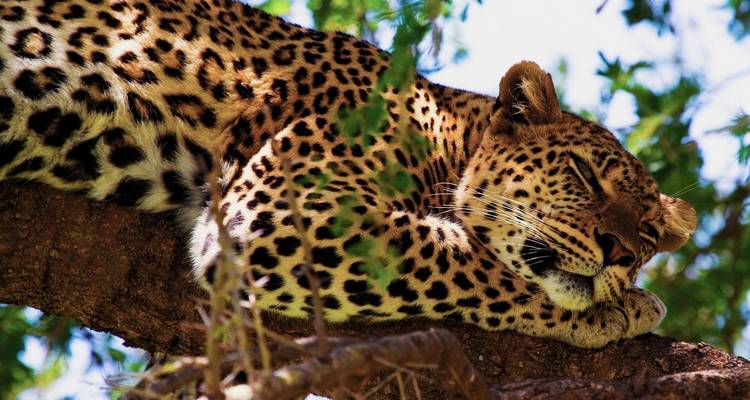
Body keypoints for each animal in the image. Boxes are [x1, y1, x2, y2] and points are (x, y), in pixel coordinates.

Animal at [0, 0, 697, 348]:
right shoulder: (283, 206)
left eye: (648, 238)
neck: (446, 134)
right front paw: (619, 310)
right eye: (582, 174)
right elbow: (465, 260)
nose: (619, 254)